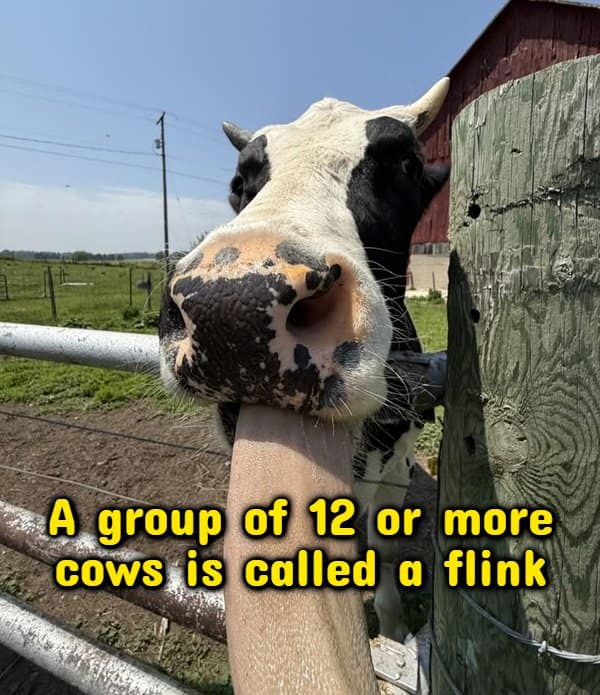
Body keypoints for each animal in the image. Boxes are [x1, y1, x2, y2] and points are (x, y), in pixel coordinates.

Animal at [159, 78, 449, 643]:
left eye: (406, 163)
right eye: (239, 181)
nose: (232, 310)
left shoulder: (397, 462)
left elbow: (382, 548)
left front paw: (394, 626)